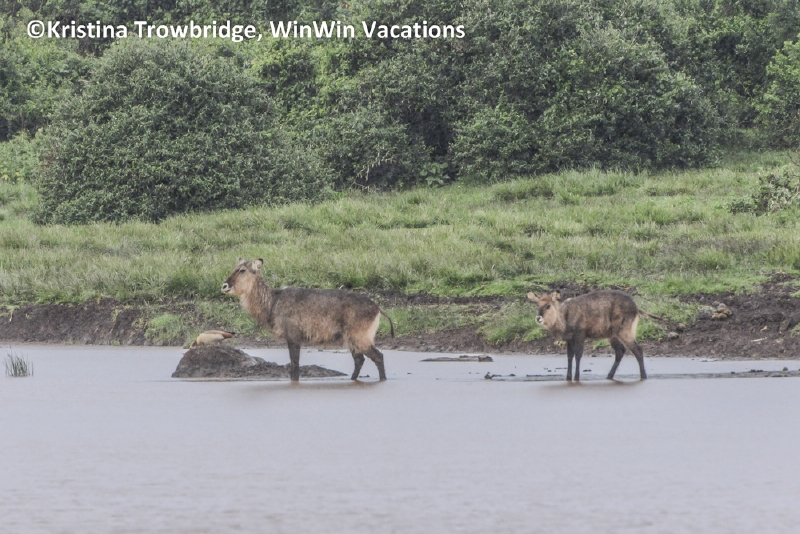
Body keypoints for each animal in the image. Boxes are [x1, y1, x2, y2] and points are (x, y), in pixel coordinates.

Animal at [221, 258, 394, 381]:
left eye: (242, 270)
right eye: (234, 268)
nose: (224, 286)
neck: (273, 301)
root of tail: (377, 307)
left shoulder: (293, 338)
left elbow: (295, 366)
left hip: (360, 338)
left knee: (378, 357)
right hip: (352, 340)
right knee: (359, 360)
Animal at [527, 290, 659, 381]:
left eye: (548, 305)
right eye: (538, 305)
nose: (538, 318)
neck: (564, 318)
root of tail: (636, 307)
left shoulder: (580, 335)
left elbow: (578, 355)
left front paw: (576, 378)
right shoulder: (569, 339)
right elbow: (569, 356)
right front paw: (568, 378)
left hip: (624, 331)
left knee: (638, 350)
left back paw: (643, 376)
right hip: (612, 335)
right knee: (620, 351)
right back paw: (609, 376)